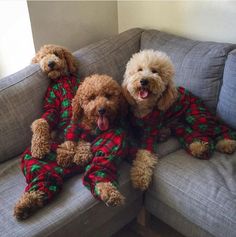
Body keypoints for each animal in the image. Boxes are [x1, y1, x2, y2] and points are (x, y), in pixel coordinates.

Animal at [56, 74, 128, 207]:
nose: (102, 110)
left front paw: (81, 155)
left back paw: (109, 192)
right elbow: (73, 140)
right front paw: (70, 155)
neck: (95, 126)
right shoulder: (77, 125)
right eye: (92, 97)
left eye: (108, 96)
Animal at [121, 49, 236, 191]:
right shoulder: (132, 125)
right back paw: (199, 148)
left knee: (220, 128)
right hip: (180, 125)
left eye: (155, 71)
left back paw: (227, 143)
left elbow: (145, 155)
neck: (143, 109)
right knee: (193, 135)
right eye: (139, 69)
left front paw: (140, 179)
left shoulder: (151, 131)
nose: (144, 81)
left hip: (196, 117)